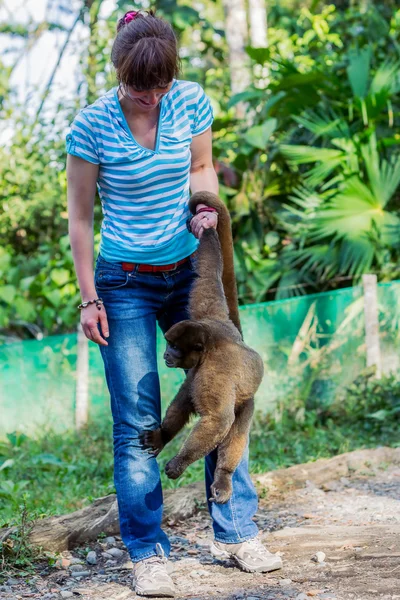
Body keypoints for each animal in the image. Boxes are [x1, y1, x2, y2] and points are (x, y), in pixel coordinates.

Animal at [139, 191, 264, 502]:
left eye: (173, 346)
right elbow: (208, 272)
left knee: (234, 429)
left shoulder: (213, 374)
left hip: (248, 402)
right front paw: (206, 229)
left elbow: (218, 420)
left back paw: (224, 477)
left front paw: (180, 462)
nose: (165, 354)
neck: (209, 345)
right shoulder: (206, 315)